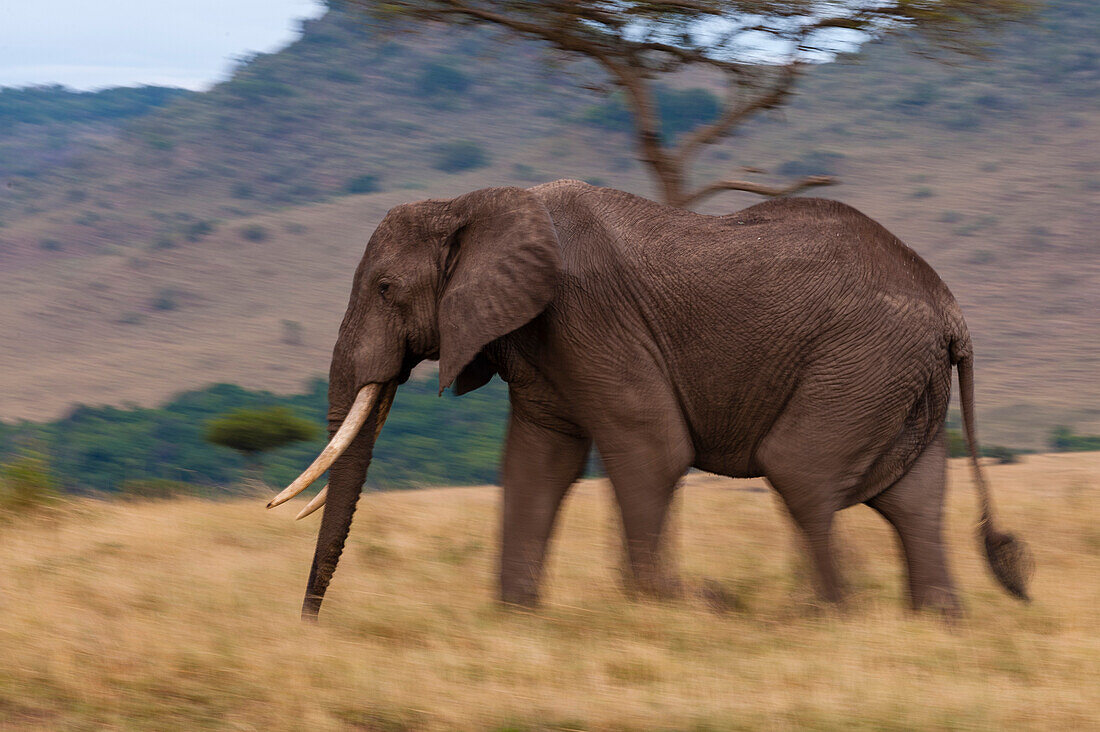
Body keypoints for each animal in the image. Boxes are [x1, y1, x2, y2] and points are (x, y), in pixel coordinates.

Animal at [266, 177, 1029, 616]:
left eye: (386, 289)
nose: (312, 623)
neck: (474, 203)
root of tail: (950, 310)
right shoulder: (540, 339)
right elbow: (536, 464)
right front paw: (516, 618)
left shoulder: (586, 313)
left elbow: (651, 447)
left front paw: (682, 605)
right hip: (899, 377)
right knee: (913, 501)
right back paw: (933, 624)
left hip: (862, 361)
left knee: (803, 473)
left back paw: (831, 617)